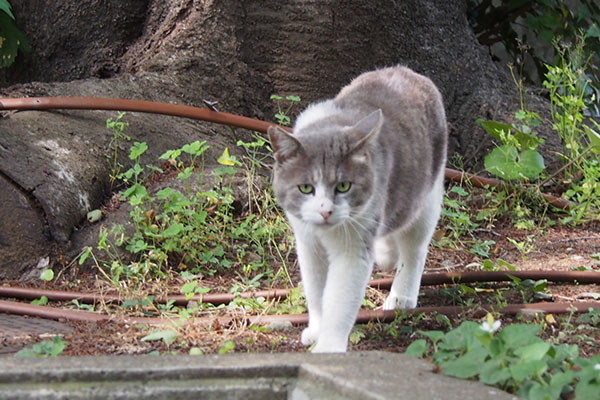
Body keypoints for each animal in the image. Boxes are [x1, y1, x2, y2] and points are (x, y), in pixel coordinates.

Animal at [268, 65, 446, 354]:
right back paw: (386, 253)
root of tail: (405, 70)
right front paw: (316, 329)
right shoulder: (307, 242)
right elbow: (316, 289)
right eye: (305, 188)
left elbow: (339, 299)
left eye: (343, 186)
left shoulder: (353, 248)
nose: (325, 211)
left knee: (414, 247)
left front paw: (328, 347)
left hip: (427, 194)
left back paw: (402, 295)